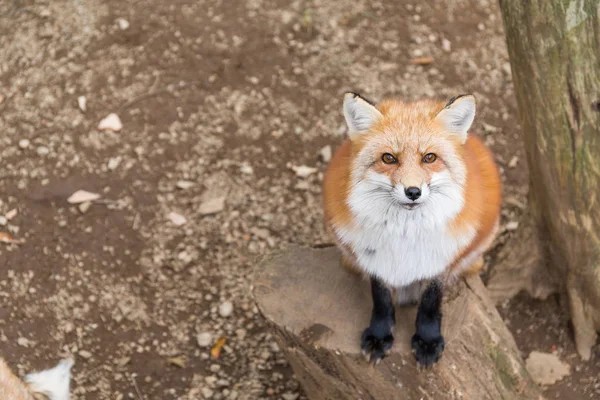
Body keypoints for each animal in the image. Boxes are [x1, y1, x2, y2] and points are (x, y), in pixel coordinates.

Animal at [324, 91, 502, 366]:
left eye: (429, 157)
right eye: (388, 158)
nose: (413, 192)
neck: (405, 236)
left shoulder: (440, 259)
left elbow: (430, 303)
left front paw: (428, 341)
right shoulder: (373, 256)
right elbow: (381, 299)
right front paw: (379, 336)